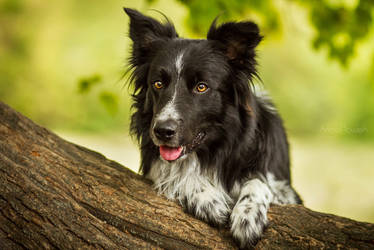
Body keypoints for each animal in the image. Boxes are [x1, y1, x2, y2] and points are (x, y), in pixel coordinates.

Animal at [124, 7, 302, 248]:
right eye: (158, 84)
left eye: (201, 87)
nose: (162, 131)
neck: (213, 150)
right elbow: (174, 173)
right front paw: (206, 198)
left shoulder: (286, 190)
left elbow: (258, 181)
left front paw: (248, 216)